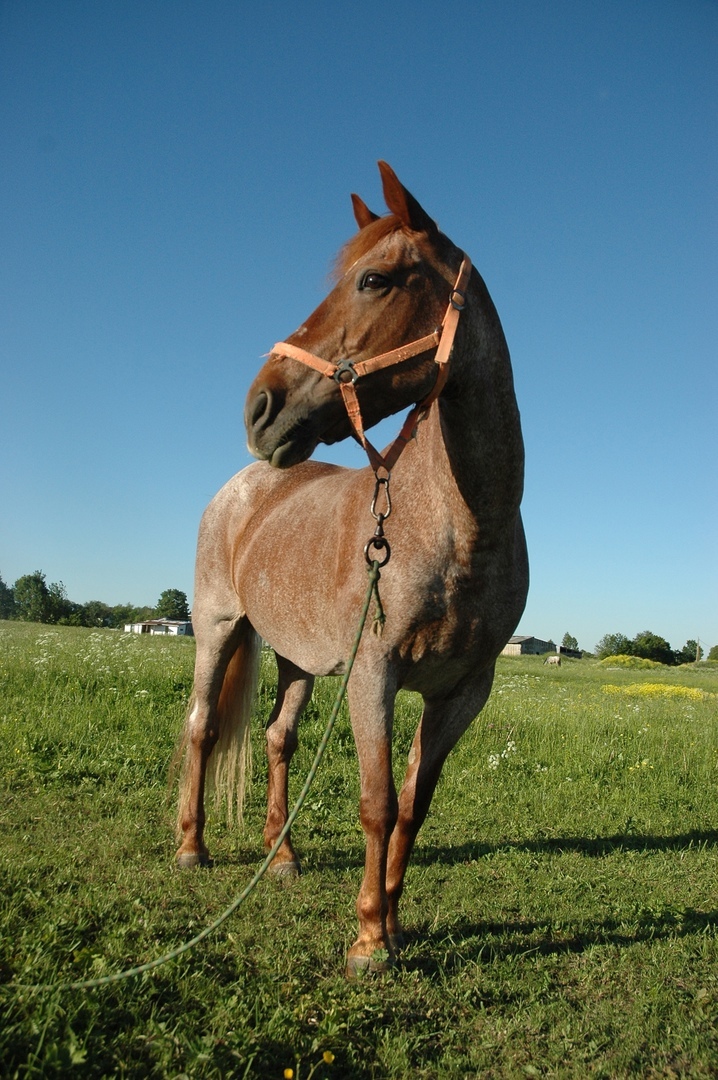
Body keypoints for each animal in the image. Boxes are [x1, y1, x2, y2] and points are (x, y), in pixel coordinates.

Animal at [175, 162, 529, 980]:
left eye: (373, 279)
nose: (260, 407)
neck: (463, 530)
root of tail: (241, 485)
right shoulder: (375, 674)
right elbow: (377, 803)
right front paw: (368, 938)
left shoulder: (463, 691)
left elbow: (413, 806)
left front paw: (394, 926)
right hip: (217, 629)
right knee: (202, 727)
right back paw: (191, 847)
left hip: (299, 659)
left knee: (277, 739)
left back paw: (282, 857)